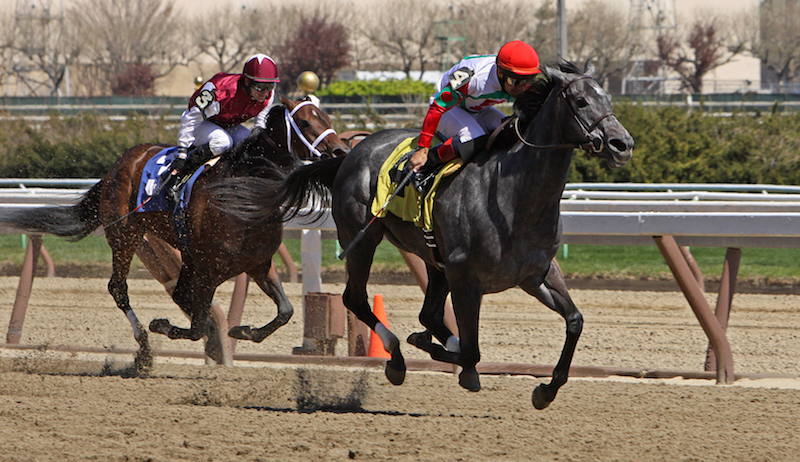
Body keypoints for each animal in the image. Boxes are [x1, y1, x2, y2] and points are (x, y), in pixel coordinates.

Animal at [3, 96, 348, 372]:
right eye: (305, 121)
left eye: (326, 118)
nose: (340, 150)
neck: (243, 192)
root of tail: (121, 162)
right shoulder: (208, 269)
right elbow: (196, 325)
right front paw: (166, 325)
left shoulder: (257, 263)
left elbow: (285, 311)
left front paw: (241, 332)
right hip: (125, 234)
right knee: (119, 288)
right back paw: (143, 349)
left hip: (180, 251)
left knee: (177, 292)